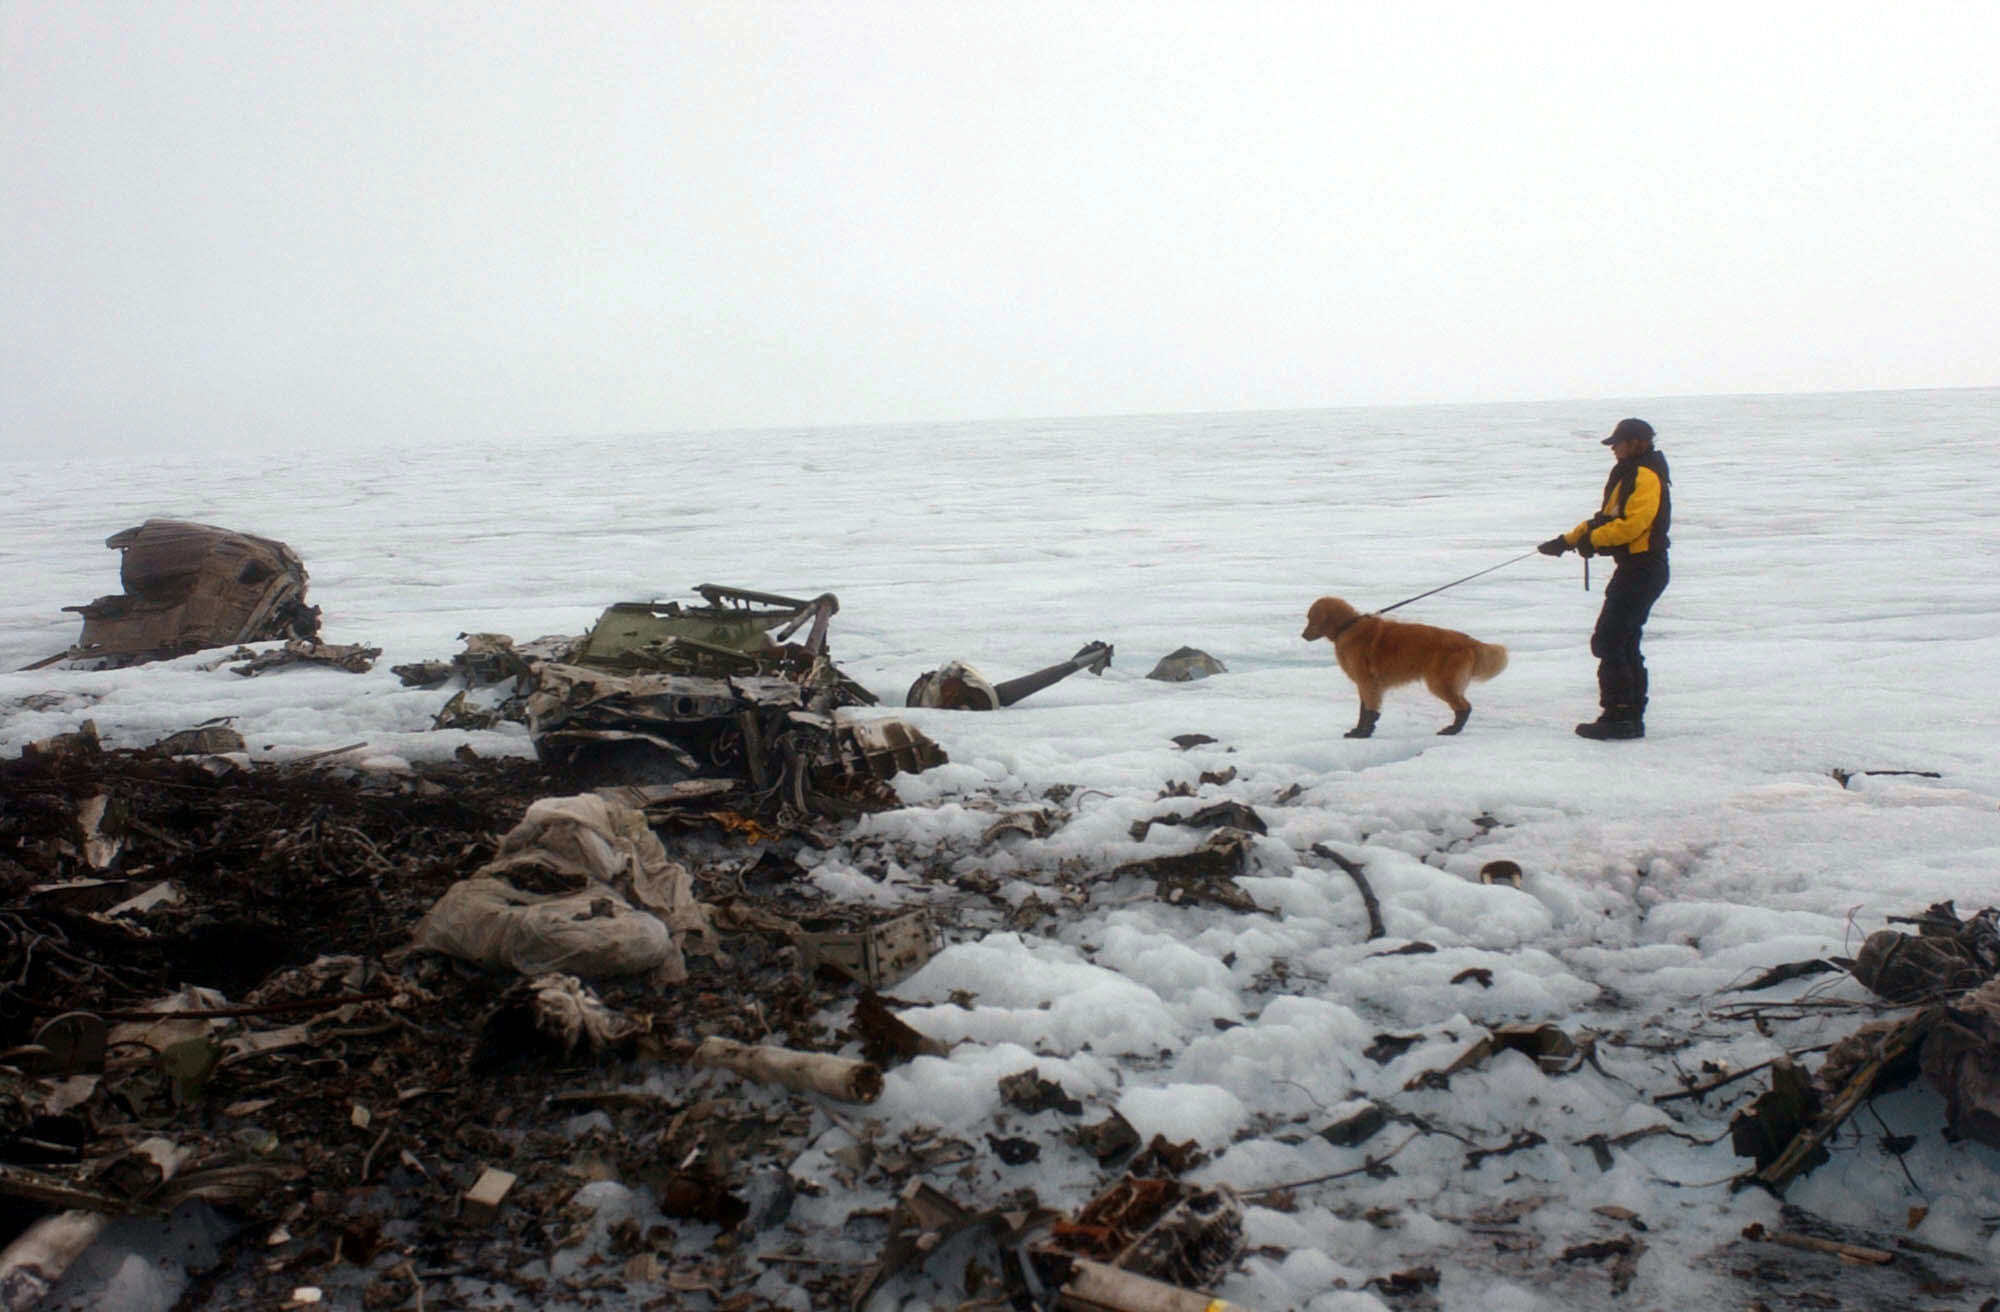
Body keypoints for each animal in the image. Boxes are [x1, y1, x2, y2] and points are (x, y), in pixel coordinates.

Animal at [1304, 596, 1504, 736]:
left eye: (1311, 619)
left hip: (1441, 683)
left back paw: (1451, 730)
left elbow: (1369, 711)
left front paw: (1363, 734)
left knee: (1464, 707)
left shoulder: (1367, 682)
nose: (1302, 635)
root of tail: (1469, 641)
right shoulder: (1366, 684)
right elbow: (1364, 710)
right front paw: (1360, 730)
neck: (1347, 627)